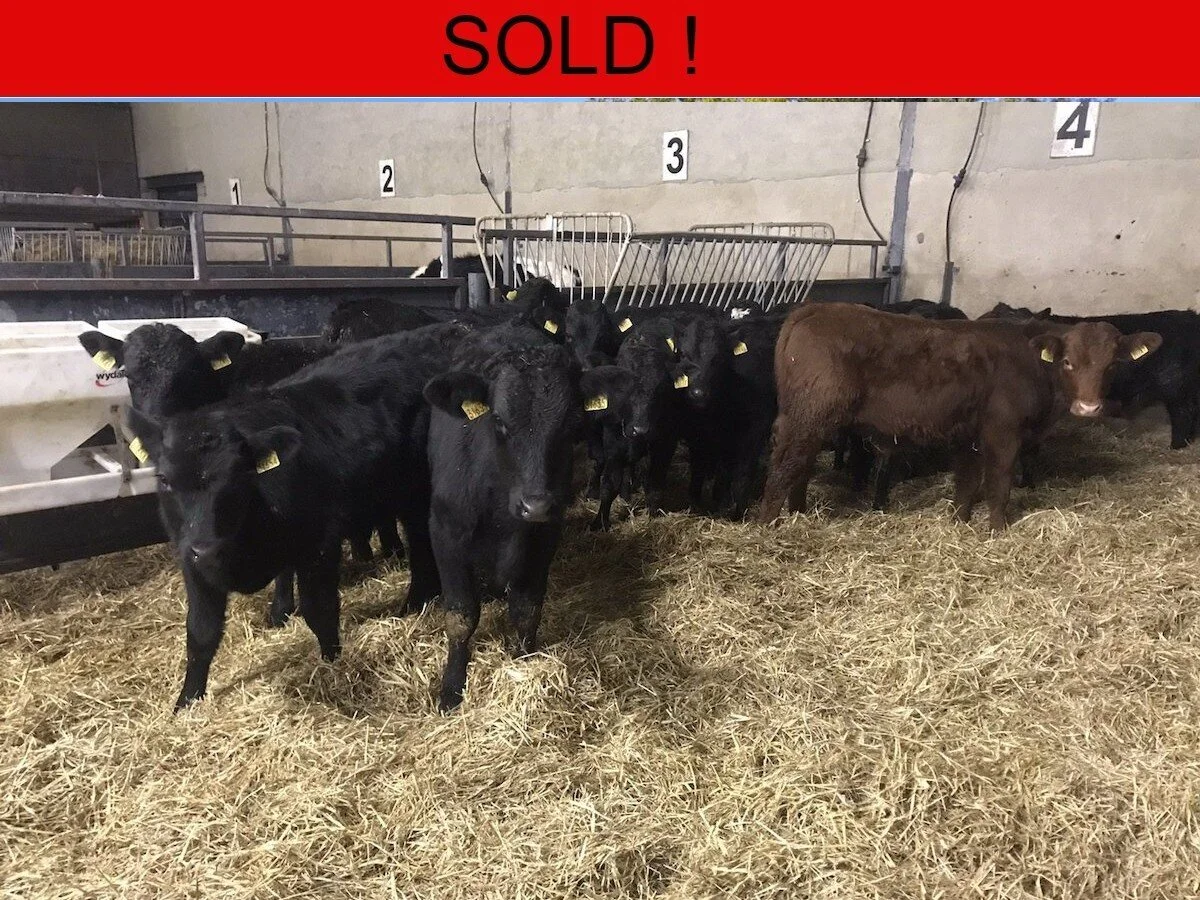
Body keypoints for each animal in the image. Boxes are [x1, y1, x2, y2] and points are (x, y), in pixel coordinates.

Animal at [125, 322, 465, 711]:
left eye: (239, 475)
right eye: (165, 479)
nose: (207, 546)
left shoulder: (319, 543)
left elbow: (320, 610)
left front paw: (332, 664)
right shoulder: (191, 561)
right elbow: (200, 633)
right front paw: (186, 701)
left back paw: (415, 601)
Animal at [423, 336, 620, 711]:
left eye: (571, 423)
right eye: (499, 421)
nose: (536, 504)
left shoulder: (544, 538)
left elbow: (527, 610)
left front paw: (523, 662)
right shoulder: (446, 536)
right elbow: (460, 617)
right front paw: (452, 687)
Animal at [756, 304, 1162, 531]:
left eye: (1112, 365)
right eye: (1067, 362)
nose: (1088, 408)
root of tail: (815, 309)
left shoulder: (970, 432)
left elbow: (967, 482)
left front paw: (960, 523)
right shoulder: (1003, 431)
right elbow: (998, 483)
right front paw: (997, 531)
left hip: (809, 419)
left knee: (799, 464)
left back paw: (799, 514)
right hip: (810, 416)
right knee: (785, 466)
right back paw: (770, 525)